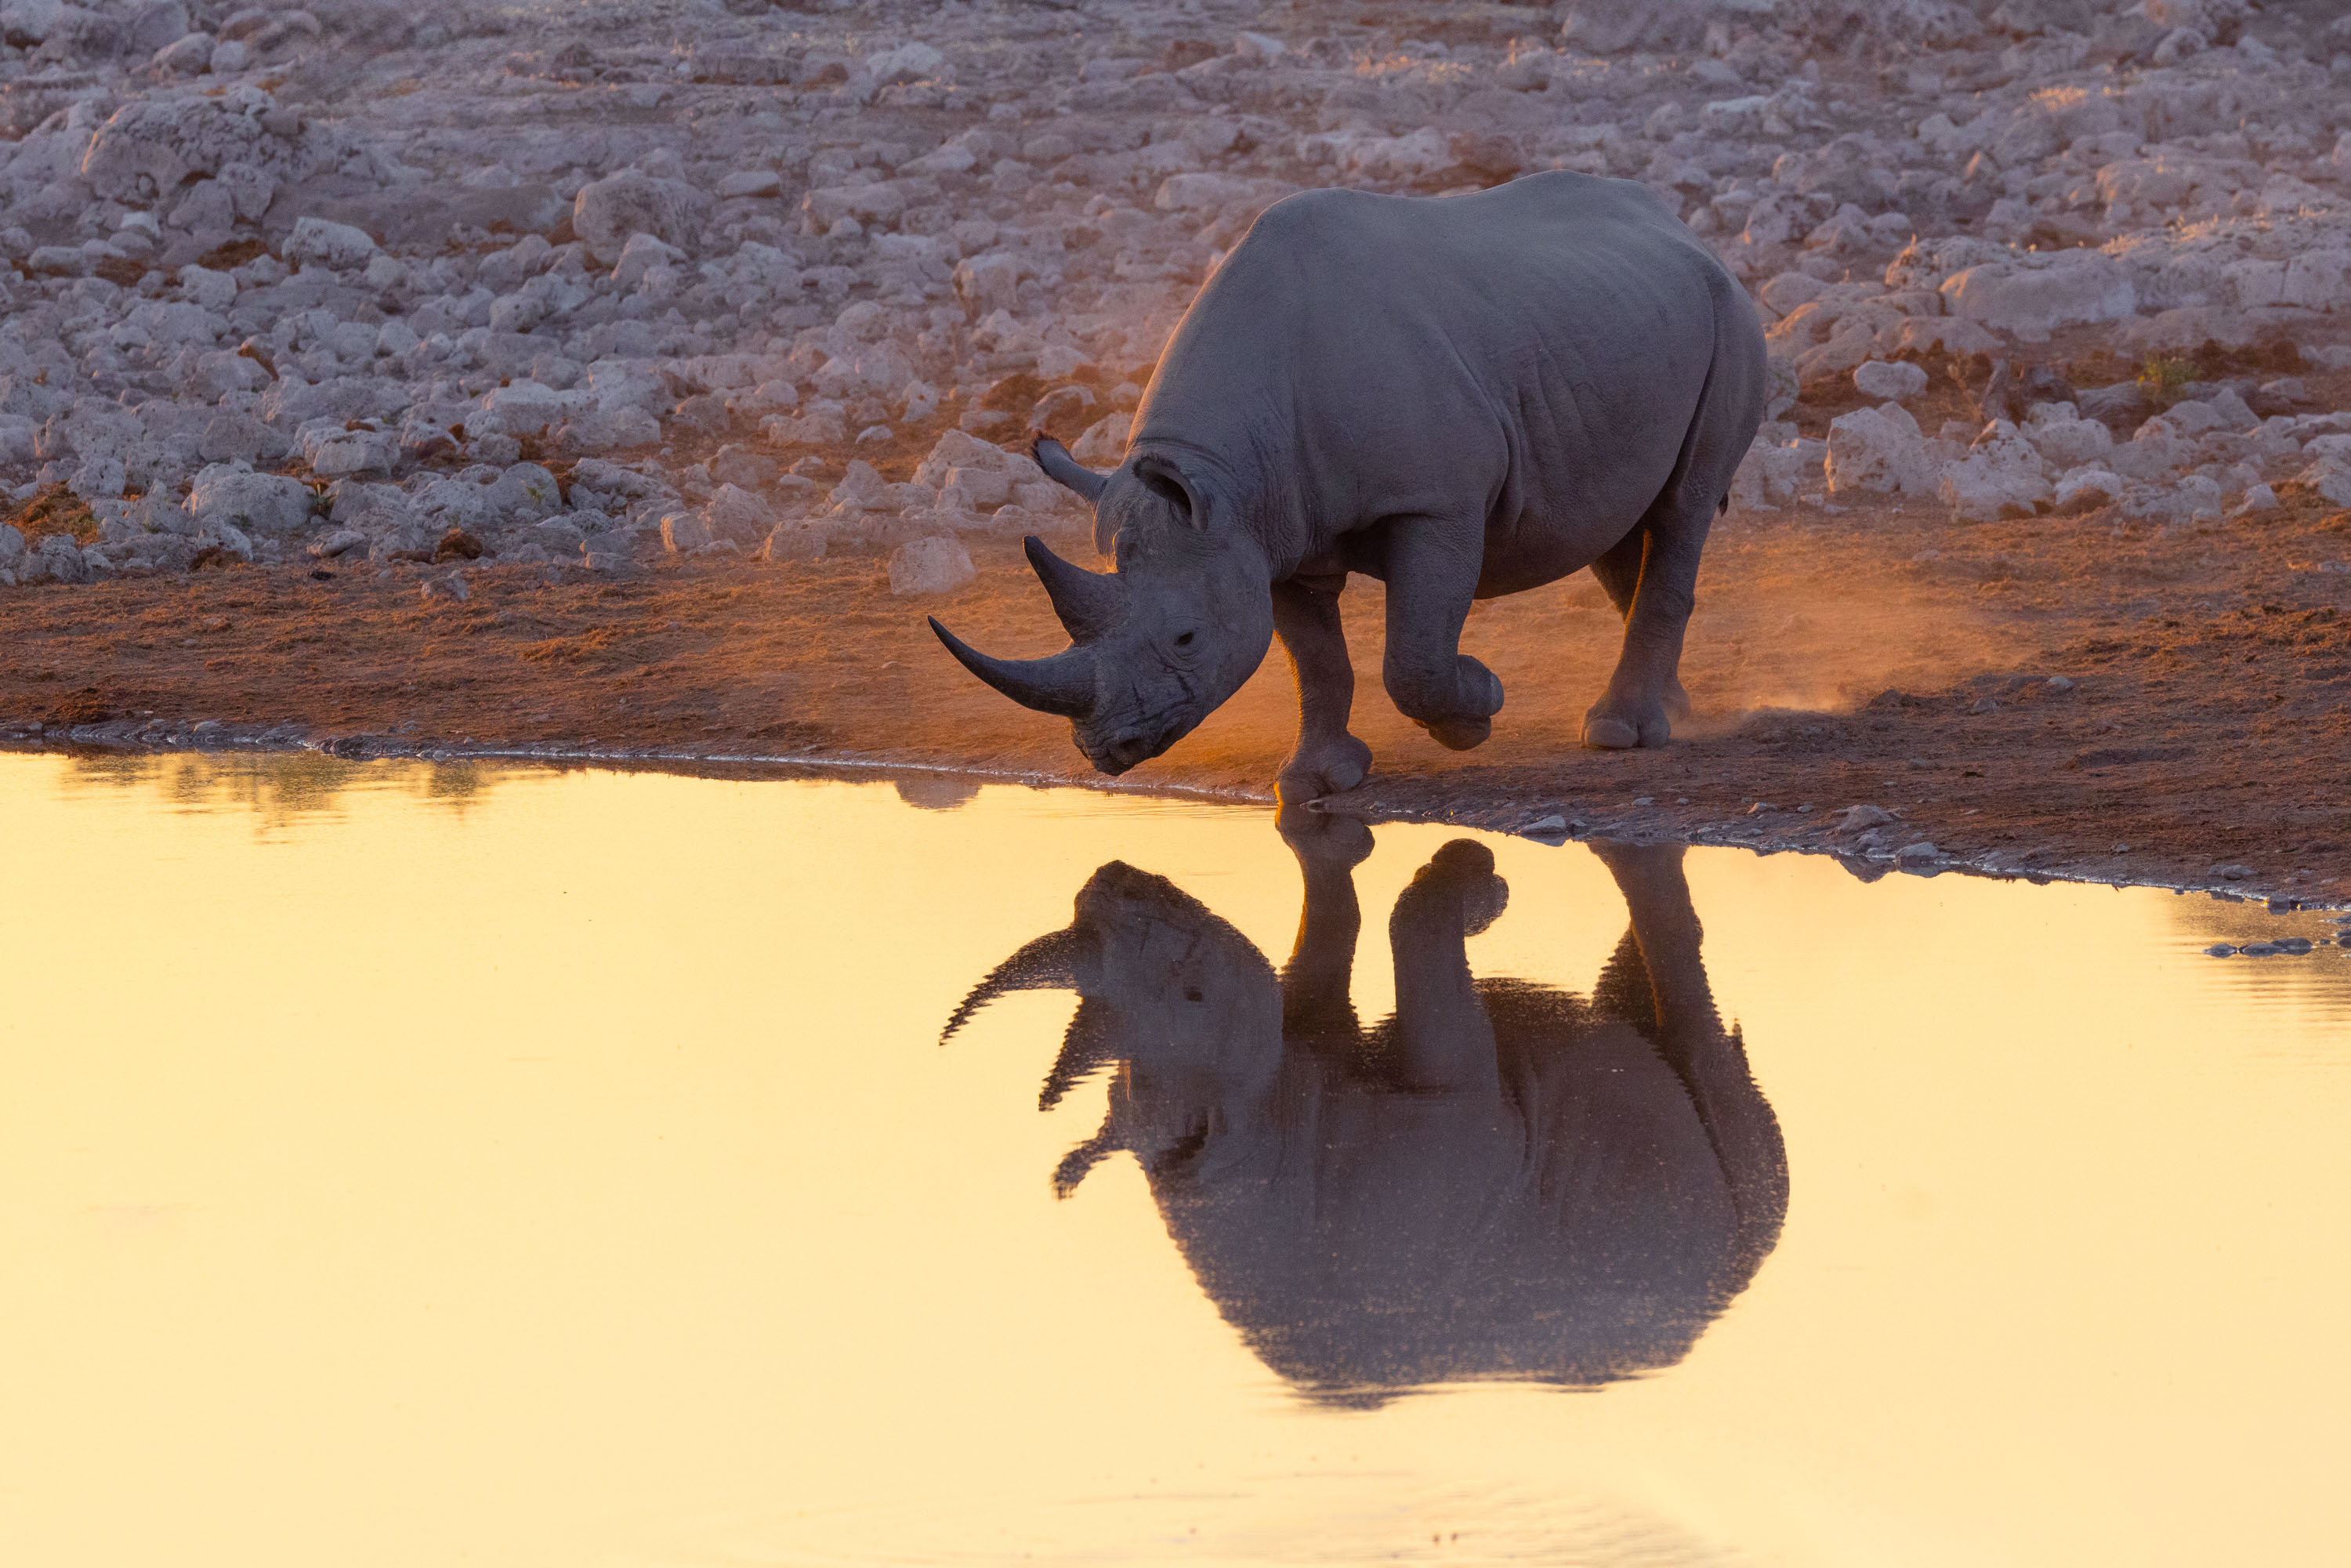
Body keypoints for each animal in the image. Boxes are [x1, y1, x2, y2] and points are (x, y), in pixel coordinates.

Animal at [930, 172, 1768, 801]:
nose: (1106, 749)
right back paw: (1670, 709)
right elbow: (1316, 660)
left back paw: (1620, 733)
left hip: (1729, 315)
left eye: (1186, 638)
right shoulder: (1269, 532)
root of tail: (1686, 231)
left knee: (1684, 505)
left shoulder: (1434, 501)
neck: (1224, 474)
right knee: (1618, 527)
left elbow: (1415, 655)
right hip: (1618, 325)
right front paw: (1317, 782)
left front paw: (1477, 709)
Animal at [942, 820, 1788, 1404]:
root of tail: (1711, 1315)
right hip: (1708, 1241)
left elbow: (1334, 940)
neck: (1255, 1136)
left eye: (1191, 992)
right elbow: (1395, 943)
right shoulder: (1465, 1111)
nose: (1111, 875)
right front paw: (1476, 884)